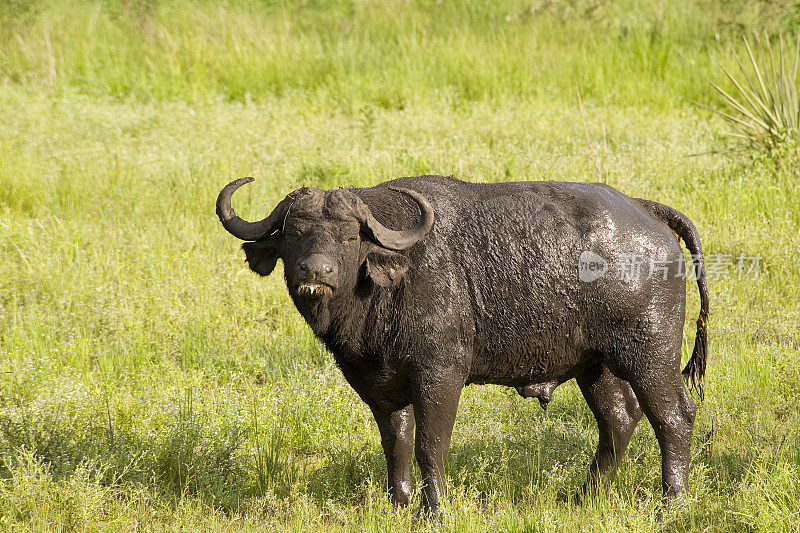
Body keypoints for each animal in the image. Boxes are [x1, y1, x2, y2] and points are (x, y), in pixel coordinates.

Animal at [217, 177, 708, 512]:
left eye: (349, 235)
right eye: (295, 232)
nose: (316, 272)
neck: (389, 283)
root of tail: (646, 209)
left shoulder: (440, 374)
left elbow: (430, 443)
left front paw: (432, 510)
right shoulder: (379, 385)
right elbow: (396, 441)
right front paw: (398, 504)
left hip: (651, 355)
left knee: (673, 416)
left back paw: (672, 500)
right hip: (596, 366)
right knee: (619, 418)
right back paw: (585, 496)